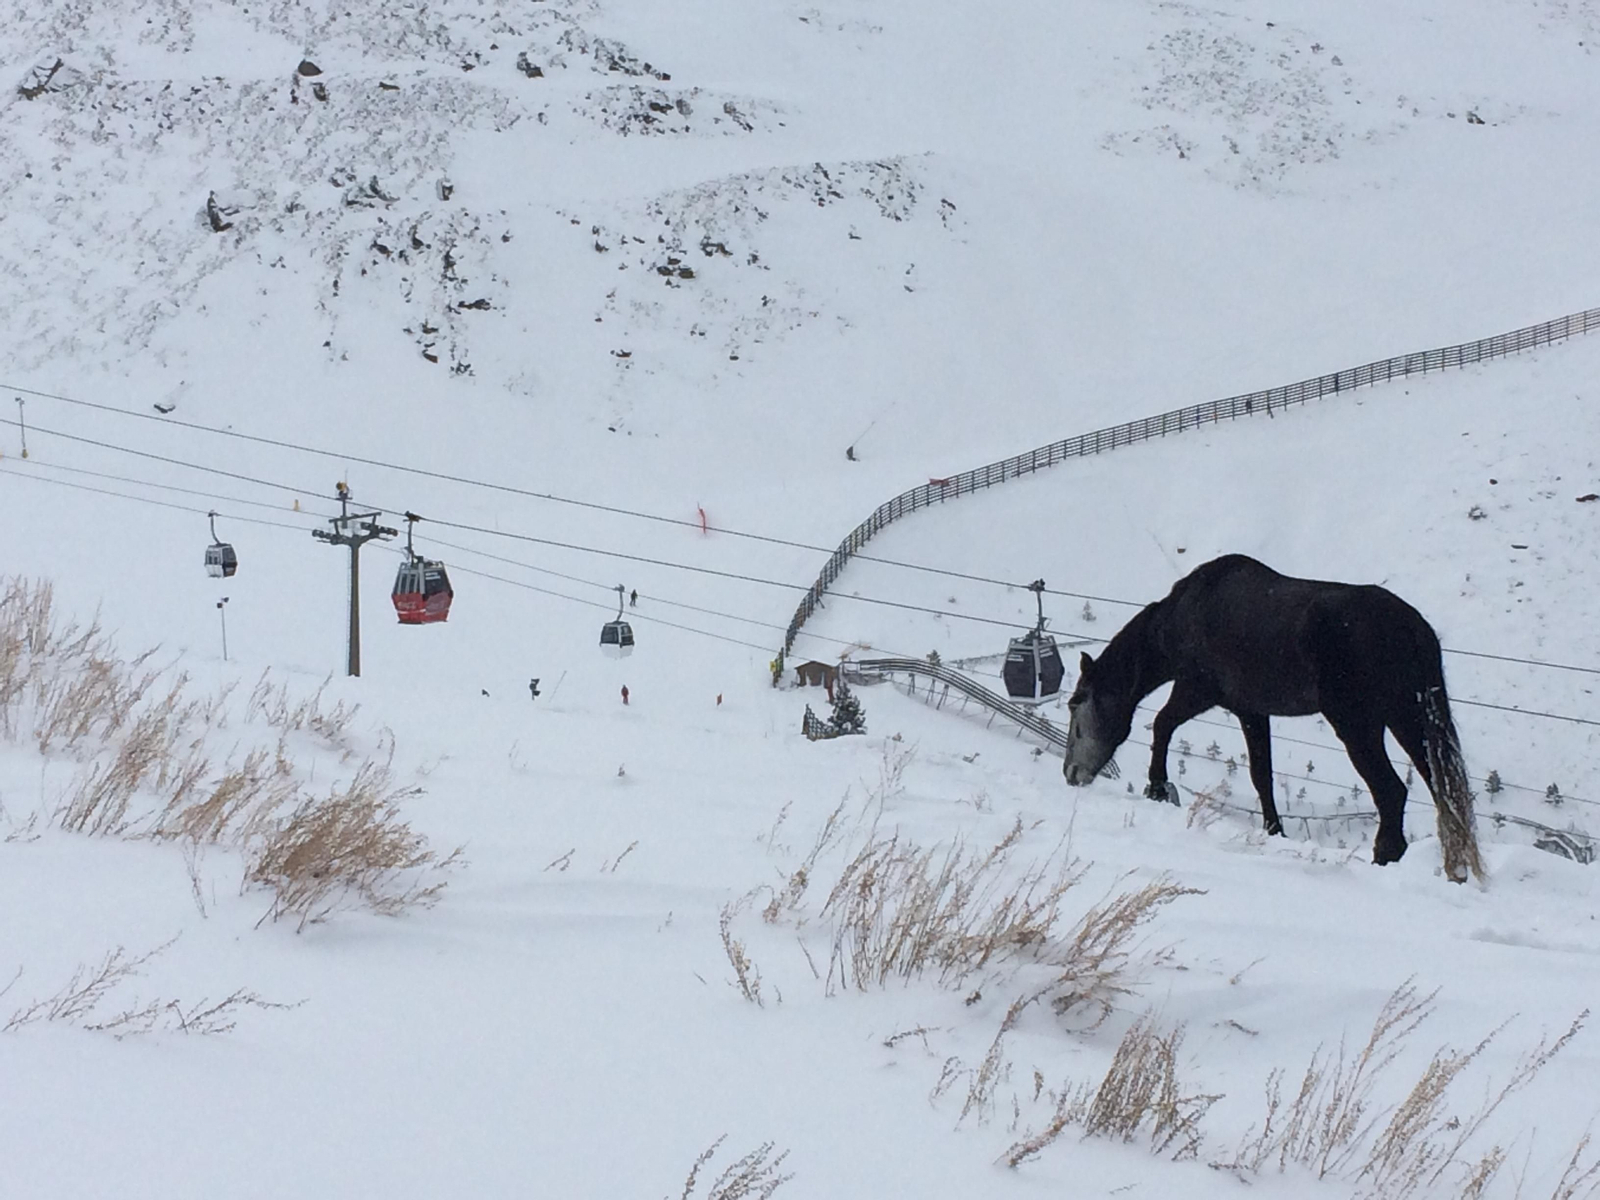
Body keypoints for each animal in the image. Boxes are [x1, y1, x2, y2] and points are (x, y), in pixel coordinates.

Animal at [1061, 554, 1484, 883]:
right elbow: (1261, 773)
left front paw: (1158, 787)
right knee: (1441, 791)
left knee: (1392, 791)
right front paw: (1273, 829)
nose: (1070, 772)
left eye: (1076, 703)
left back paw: (1385, 856)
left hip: (1358, 724)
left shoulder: (1198, 689)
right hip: (1407, 720)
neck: (1179, 618)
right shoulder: (1251, 709)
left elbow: (1163, 725)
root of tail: (1413, 629)